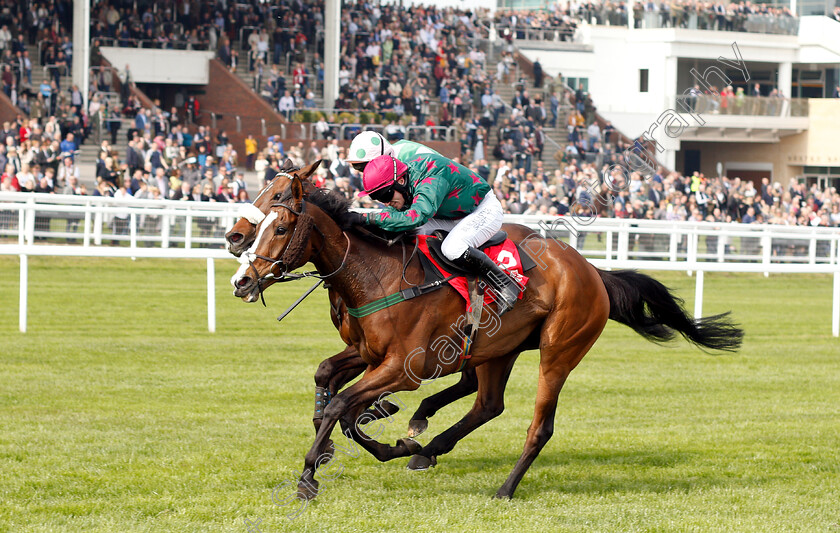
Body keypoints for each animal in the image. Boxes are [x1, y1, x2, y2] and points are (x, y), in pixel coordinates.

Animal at [228, 165, 740, 498]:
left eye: (281, 225)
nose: (241, 279)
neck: (376, 273)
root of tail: (593, 272)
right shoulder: (368, 353)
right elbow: (327, 382)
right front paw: (377, 440)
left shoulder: (404, 368)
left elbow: (340, 405)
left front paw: (309, 474)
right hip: (500, 348)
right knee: (487, 403)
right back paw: (428, 444)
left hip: (558, 351)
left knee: (538, 426)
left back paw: (504, 487)